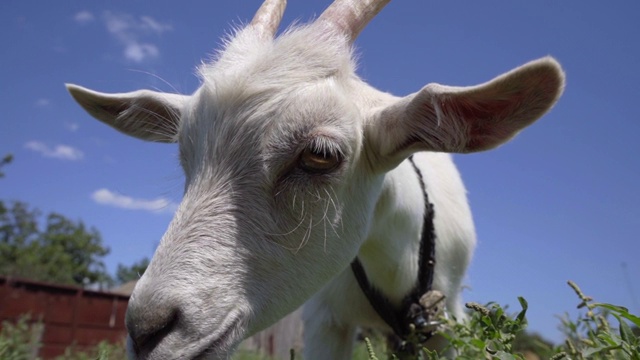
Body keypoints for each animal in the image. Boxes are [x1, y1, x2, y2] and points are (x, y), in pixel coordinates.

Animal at [66, 0, 564, 360]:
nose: (145, 330)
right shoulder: (324, 321)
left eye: (320, 155)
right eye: (185, 154)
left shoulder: (444, 321)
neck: (394, 260)